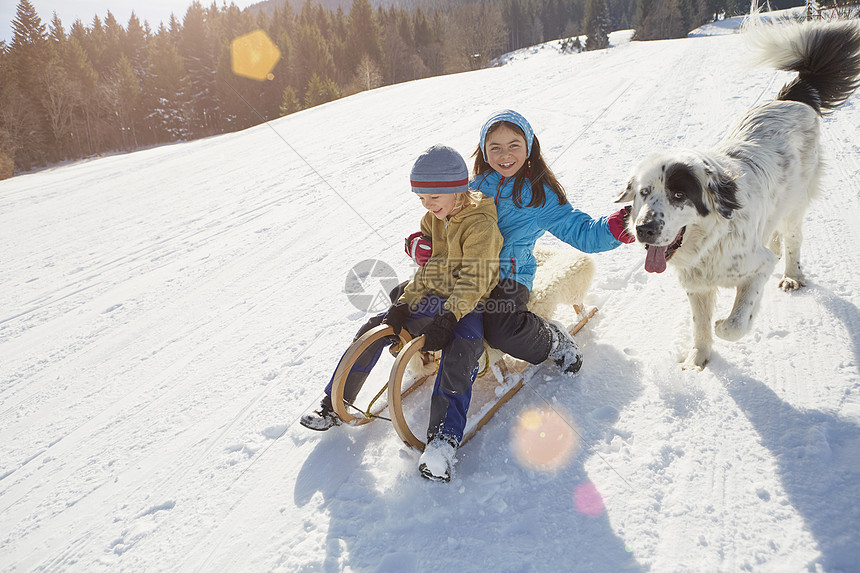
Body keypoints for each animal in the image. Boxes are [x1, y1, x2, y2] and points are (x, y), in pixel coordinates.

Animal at [616, 19, 860, 370]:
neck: (709, 244)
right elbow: (700, 325)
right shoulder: (697, 284)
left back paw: (792, 276)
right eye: (644, 192)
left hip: (795, 203)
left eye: (679, 194)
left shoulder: (758, 267)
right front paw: (697, 360)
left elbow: (734, 324)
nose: (644, 229)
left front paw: (726, 323)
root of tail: (792, 98)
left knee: (792, 239)